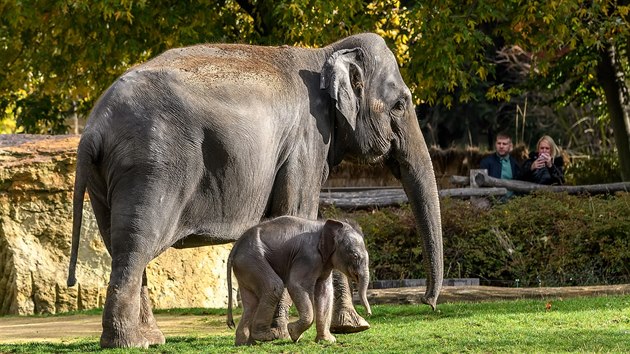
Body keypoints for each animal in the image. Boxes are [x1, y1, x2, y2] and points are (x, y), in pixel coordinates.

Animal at [227, 216, 372, 346]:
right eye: (355, 256)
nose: (369, 313)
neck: (324, 225)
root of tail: (235, 247)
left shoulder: (324, 262)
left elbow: (324, 292)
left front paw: (327, 341)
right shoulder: (308, 257)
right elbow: (296, 285)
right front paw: (293, 333)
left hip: (246, 266)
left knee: (252, 303)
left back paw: (246, 343)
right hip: (252, 259)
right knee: (274, 287)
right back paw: (266, 336)